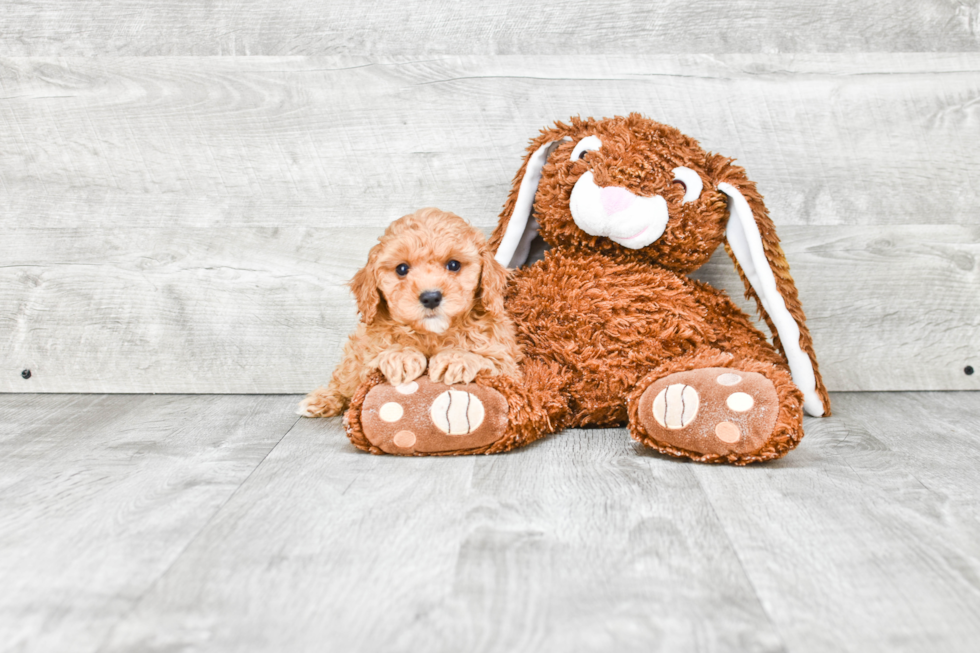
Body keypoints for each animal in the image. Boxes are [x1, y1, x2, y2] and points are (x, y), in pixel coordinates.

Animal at [298, 206, 520, 416]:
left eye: (454, 265)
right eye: (402, 269)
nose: (431, 297)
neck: (432, 334)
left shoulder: (508, 365)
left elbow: (491, 361)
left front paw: (456, 358)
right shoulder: (369, 352)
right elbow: (372, 363)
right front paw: (401, 356)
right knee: (345, 381)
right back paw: (323, 399)